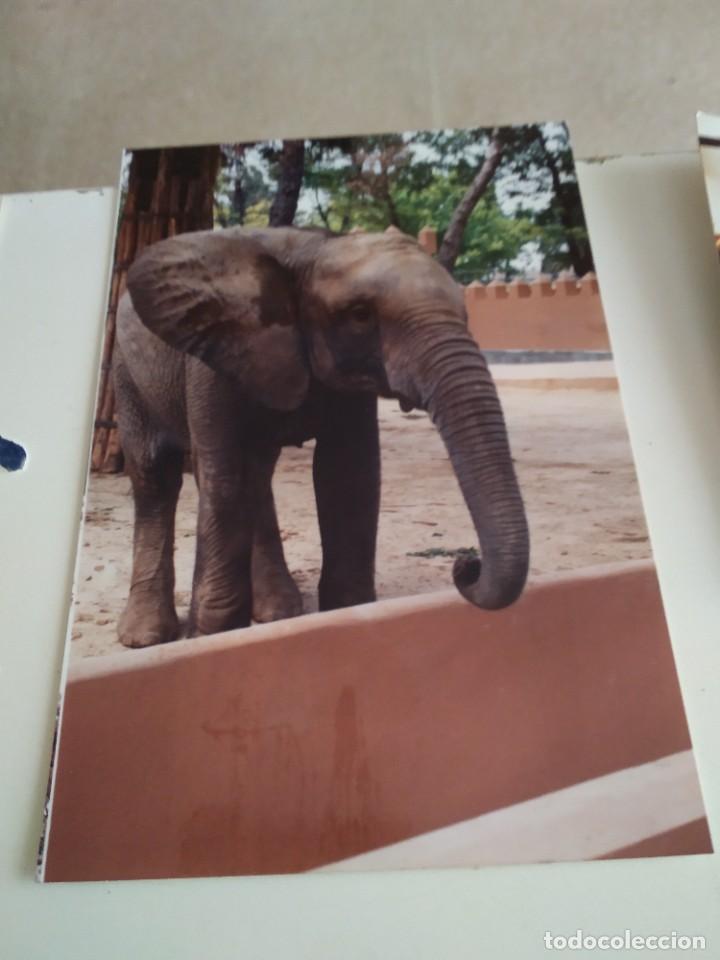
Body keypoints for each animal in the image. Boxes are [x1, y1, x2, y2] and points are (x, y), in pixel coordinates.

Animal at [113, 225, 529, 647]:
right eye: (360, 315)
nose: (466, 565)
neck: (313, 248)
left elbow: (347, 474)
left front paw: (346, 614)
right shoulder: (211, 360)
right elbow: (224, 476)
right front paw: (210, 637)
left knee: (257, 473)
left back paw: (278, 612)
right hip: (126, 375)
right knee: (156, 476)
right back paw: (145, 637)